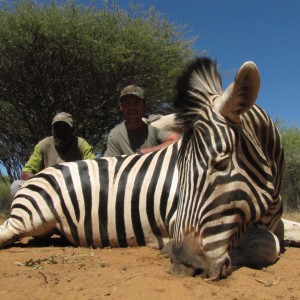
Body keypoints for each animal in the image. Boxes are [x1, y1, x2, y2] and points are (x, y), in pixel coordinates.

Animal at [0, 56, 298, 278]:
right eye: (179, 170)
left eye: (222, 163)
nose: (184, 265)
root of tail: (39, 175)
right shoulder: (177, 221)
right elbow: (269, 245)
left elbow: (284, 233)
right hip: (31, 217)